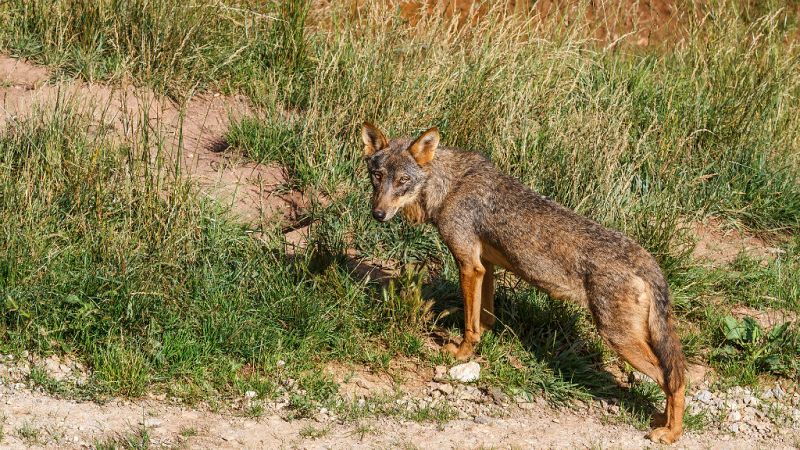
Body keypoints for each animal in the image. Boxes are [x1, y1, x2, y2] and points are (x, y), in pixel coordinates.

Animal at [362, 122, 688, 442]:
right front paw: (483, 340)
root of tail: (648, 262)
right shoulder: (486, 266)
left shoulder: (468, 266)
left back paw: (670, 433)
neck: (449, 186)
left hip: (618, 338)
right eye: (377, 176)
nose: (378, 214)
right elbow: (485, 317)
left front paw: (462, 353)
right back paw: (663, 420)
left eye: (403, 180)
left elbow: (469, 325)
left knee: (673, 379)